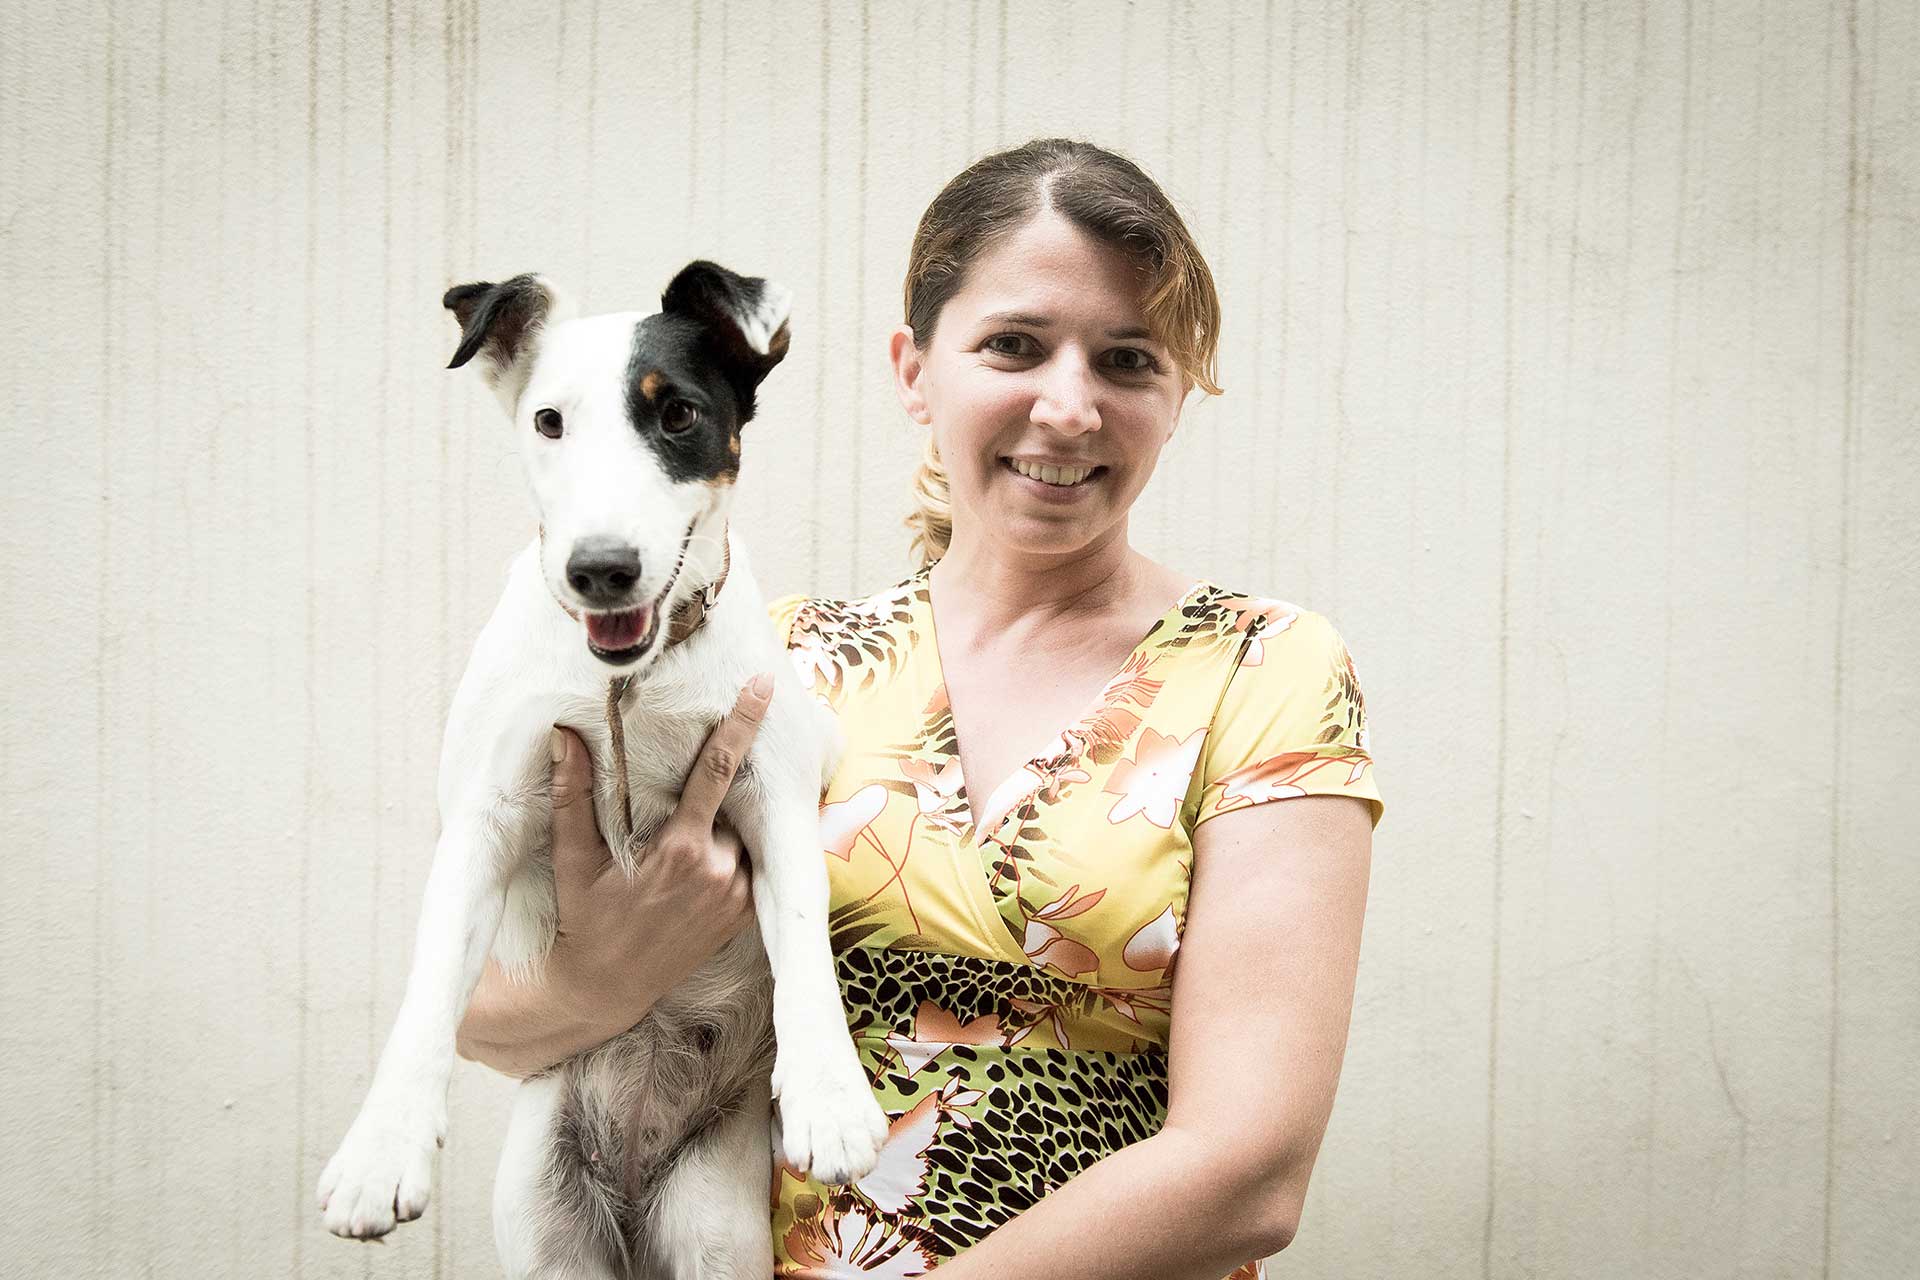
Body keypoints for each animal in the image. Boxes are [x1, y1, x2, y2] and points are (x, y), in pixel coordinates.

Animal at [314, 262, 883, 1280]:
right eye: (548, 421)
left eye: (679, 414)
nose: (601, 569)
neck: (629, 683)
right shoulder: (486, 814)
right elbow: (430, 984)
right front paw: (381, 1152)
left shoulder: (770, 787)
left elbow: (803, 933)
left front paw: (830, 1097)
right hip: (547, 1218)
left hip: (714, 1227)